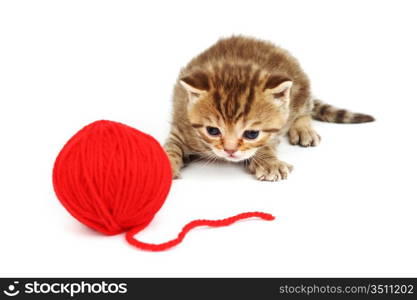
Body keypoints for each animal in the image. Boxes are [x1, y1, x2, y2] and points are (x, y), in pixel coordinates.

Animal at [163, 35, 374, 180]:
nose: (230, 151)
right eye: (213, 131)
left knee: (303, 110)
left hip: (300, 91)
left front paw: (269, 162)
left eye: (252, 134)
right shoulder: (181, 125)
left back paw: (303, 128)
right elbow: (170, 148)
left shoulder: (275, 129)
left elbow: (267, 143)